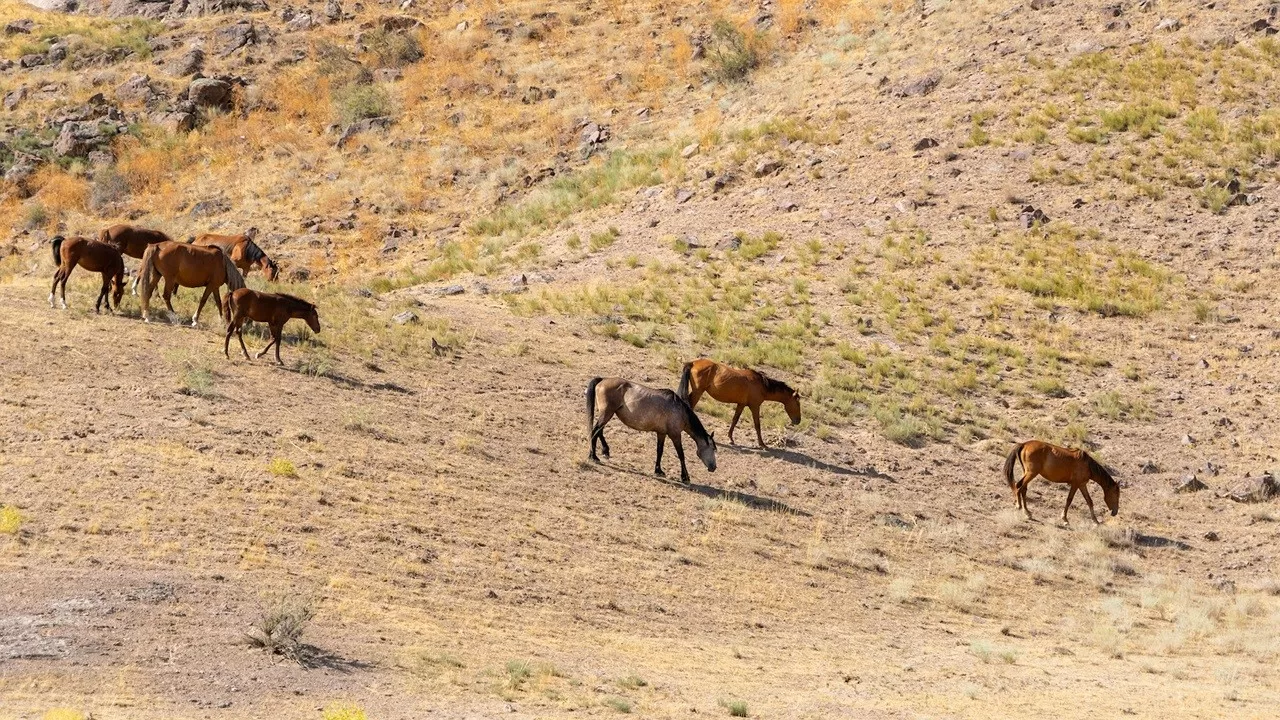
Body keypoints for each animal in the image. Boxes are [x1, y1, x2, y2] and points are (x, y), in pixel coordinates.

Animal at [586, 376, 716, 481]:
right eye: (713, 449)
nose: (714, 467)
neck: (680, 410)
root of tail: (603, 380)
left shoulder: (661, 433)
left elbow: (659, 451)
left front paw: (658, 470)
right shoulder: (675, 435)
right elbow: (681, 455)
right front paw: (685, 477)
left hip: (607, 414)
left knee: (599, 431)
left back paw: (605, 451)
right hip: (607, 413)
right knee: (595, 431)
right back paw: (594, 456)